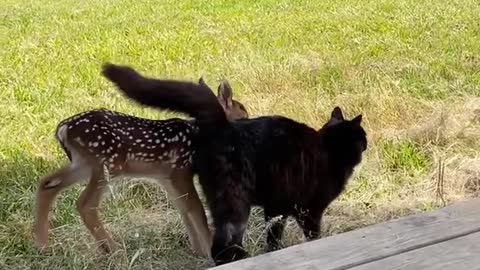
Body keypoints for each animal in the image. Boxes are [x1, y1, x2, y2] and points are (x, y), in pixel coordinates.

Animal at [102, 63, 368, 266]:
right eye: (363, 137)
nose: (367, 144)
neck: (328, 146)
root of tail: (220, 126)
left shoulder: (276, 206)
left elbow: (273, 235)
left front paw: (273, 251)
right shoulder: (310, 208)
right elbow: (312, 234)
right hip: (235, 199)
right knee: (222, 243)